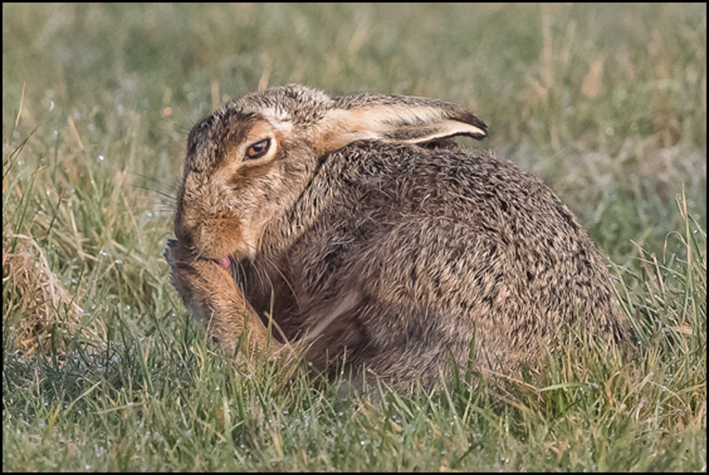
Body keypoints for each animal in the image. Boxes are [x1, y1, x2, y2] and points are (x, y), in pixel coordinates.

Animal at [165, 83, 630, 388]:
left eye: (257, 148)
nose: (188, 231)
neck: (306, 185)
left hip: (404, 264)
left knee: (283, 366)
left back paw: (194, 277)